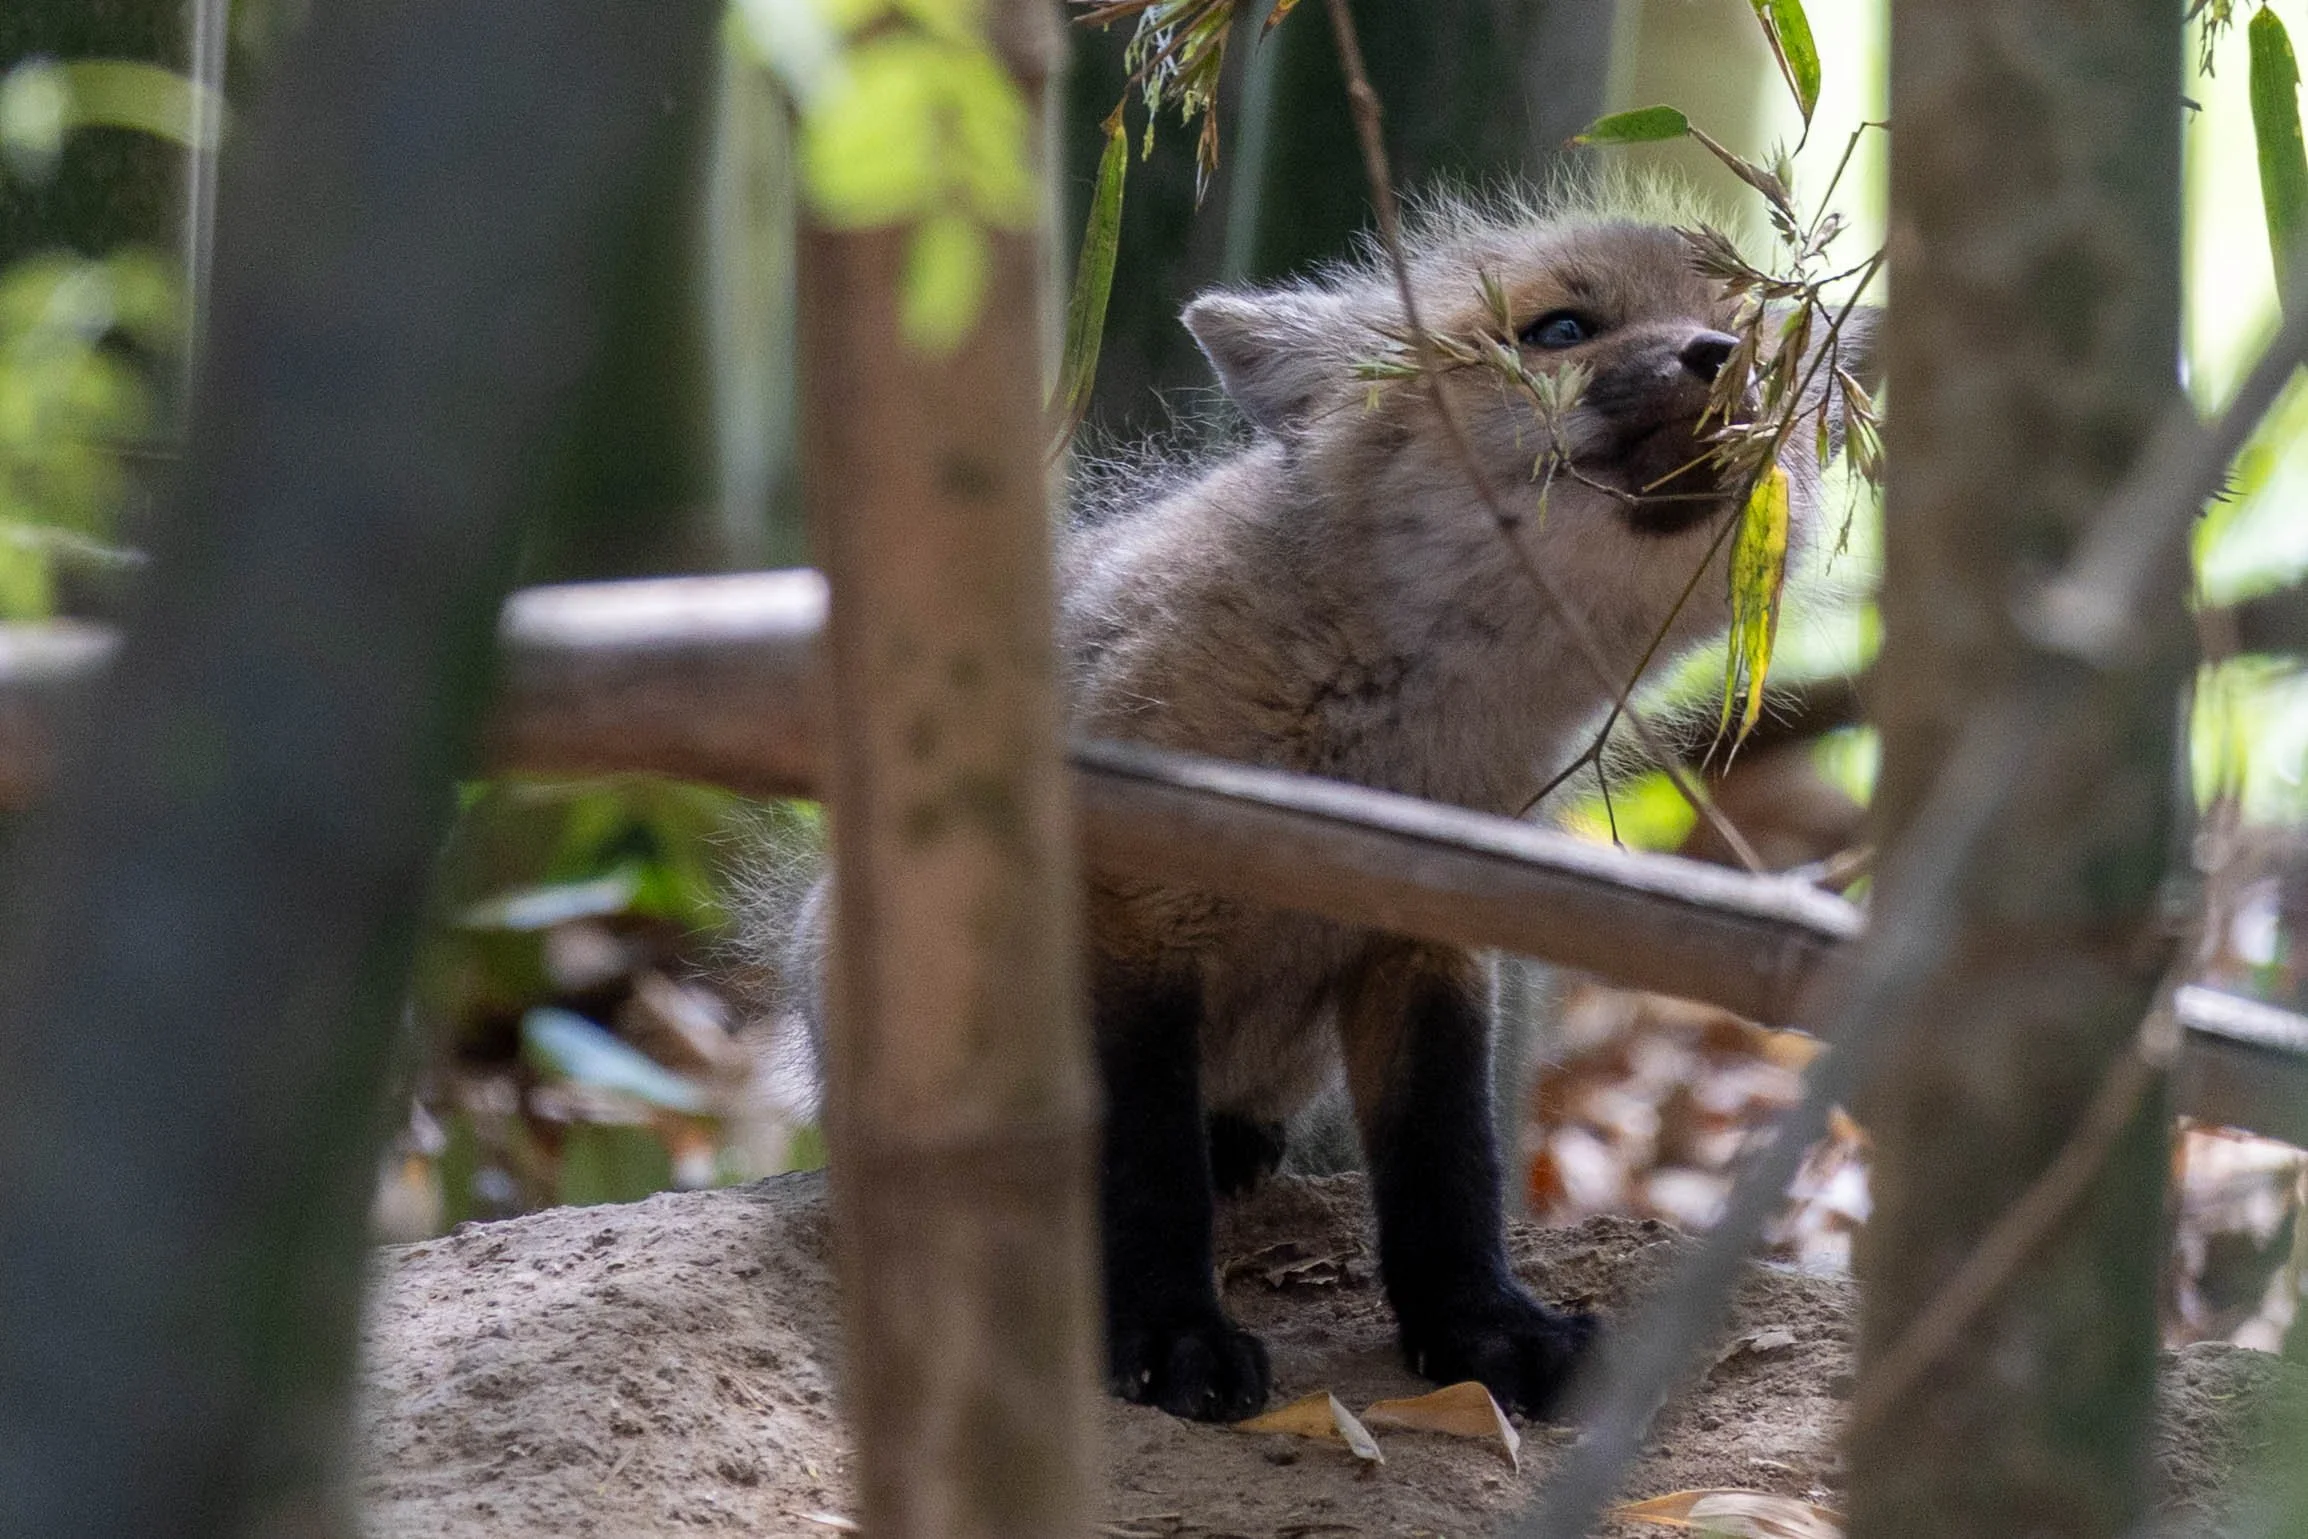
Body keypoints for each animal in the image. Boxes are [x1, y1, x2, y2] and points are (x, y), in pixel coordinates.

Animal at [771, 186, 1877, 1424]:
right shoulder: (1127, 912)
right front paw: (1169, 1333)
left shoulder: (1429, 940)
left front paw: (1481, 1328)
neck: (1383, 745)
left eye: (1764, 343)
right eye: (1559, 330)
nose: (1718, 358)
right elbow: (1146, 1168)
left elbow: (1448, 1167)